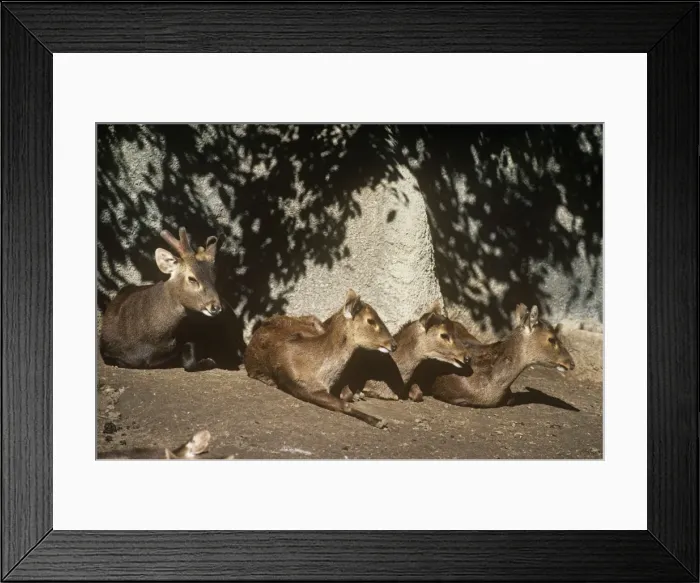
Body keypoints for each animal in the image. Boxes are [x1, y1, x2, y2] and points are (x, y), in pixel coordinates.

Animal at [100, 227, 223, 372]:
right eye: (192, 278)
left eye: (214, 278)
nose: (215, 307)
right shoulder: (106, 350)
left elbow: (190, 361)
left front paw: (208, 361)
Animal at [244, 289, 397, 428]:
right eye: (370, 320)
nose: (394, 344)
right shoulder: (300, 385)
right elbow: (343, 405)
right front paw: (378, 421)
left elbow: (345, 396)